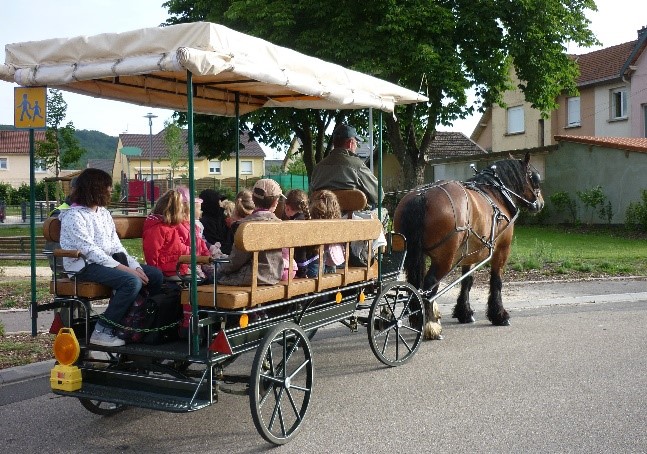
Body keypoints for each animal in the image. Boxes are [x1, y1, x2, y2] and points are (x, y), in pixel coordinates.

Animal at [392, 153, 544, 336]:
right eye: (535, 178)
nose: (540, 203)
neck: (496, 194)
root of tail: (421, 195)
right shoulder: (502, 249)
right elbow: (496, 281)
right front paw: (499, 315)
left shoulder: (469, 253)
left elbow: (467, 281)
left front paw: (464, 312)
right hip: (444, 259)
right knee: (430, 284)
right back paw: (430, 325)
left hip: (413, 254)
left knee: (414, 285)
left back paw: (418, 319)